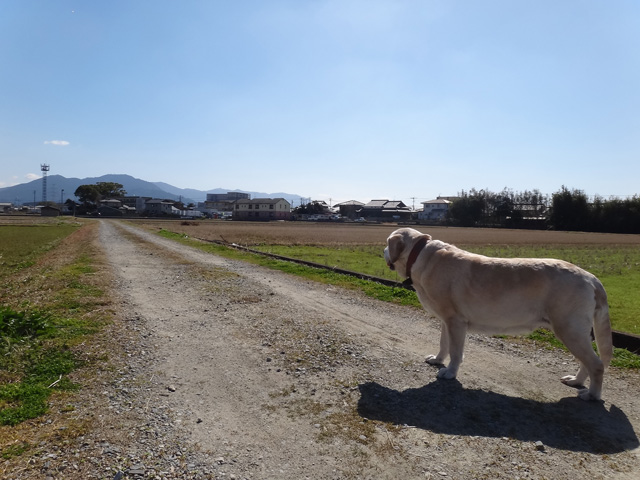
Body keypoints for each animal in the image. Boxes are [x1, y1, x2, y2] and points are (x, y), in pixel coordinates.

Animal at [382, 227, 612, 400]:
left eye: (387, 243)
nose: (383, 251)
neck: (420, 256)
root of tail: (592, 278)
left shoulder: (456, 321)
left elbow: (455, 351)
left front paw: (449, 372)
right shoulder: (446, 321)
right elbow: (443, 344)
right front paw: (438, 359)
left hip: (569, 329)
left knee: (597, 365)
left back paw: (591, 395)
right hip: (577, 332)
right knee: (588, 362)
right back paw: (577, 381)